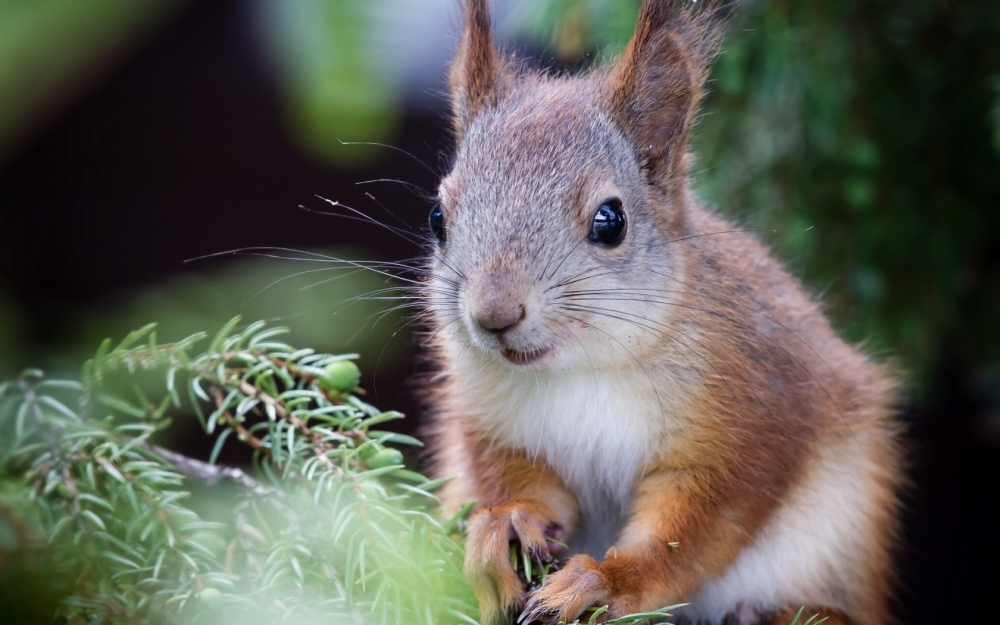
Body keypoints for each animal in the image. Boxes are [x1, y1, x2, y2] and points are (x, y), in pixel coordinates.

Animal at [422, 1, 908, 624]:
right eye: (438, 216)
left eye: (610, 221)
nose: (494, 314)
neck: (583, 366)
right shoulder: (491, 422)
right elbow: (518, 482)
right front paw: (505, 525)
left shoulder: (750, 422)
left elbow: (692, 532)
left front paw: (607, 582)